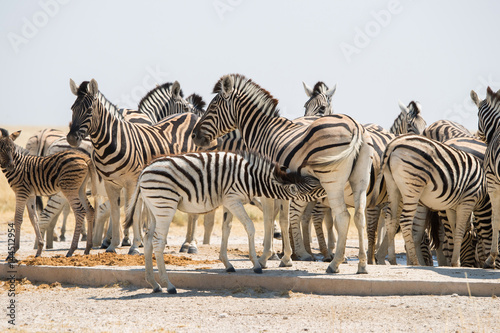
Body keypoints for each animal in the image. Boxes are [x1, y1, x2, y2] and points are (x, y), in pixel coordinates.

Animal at [0, 128, 95, 258]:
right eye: (1, 148)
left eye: (13, 148)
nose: (11, 166)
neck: (19, 164)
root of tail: (84, 157)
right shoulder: (30, 195)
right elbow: (34, 218)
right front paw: (39, 249)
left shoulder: (21, 192)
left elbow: (18, 218)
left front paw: (13, 251)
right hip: (80, 188)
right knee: (90, 210)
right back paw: (88, 248)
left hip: (69, 188)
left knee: (80, 211)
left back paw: (71, 250)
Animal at [66, 78, 213, 254]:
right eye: (72, 109)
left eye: (89, 110)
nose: (71, 138)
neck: (112, 141)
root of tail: (191, 117)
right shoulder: (111, 184)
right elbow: (116, 213)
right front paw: (114, 245)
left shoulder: (132, 182)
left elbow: (134, 212)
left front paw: (135, 245)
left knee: (194, 213)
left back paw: (190, 245)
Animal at [124, 150, 320, 294]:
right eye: (313, 187)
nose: (325, 187)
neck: (251, 178)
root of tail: (144, 170)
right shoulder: (233, 199)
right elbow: (249, 226)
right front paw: (256, 265)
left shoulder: (227, 201)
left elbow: (227, 228)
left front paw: (227, 264)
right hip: (165, 205)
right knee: (158, 242)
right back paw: (169, 285)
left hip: (153, 209)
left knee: (148, 240)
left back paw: (154, 284)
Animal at [193, 74, 374, 274]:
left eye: (212, 108)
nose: (193, 135)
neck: (261, 131)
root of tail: (355, 126)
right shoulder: (283, 186)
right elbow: (284, 219)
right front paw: (286, 259)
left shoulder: (263, 182)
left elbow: (268, 218)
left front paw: (265, 258)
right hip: (360, 180)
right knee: (359, 216)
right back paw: (362, 265)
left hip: (332, 181)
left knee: (343, 217)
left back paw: (335, 264)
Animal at [376, 134, 486, 266]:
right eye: (474, 241)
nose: (477, 265)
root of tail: (393, 144)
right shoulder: (468, 200)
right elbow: (459, 231)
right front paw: (455, 263)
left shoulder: (451, 207)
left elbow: (454, 231)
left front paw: (454, 261)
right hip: (413, 186)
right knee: (405, 220)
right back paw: (415, 262)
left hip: (392, 185)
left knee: (391, 219)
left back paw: (393, 260)